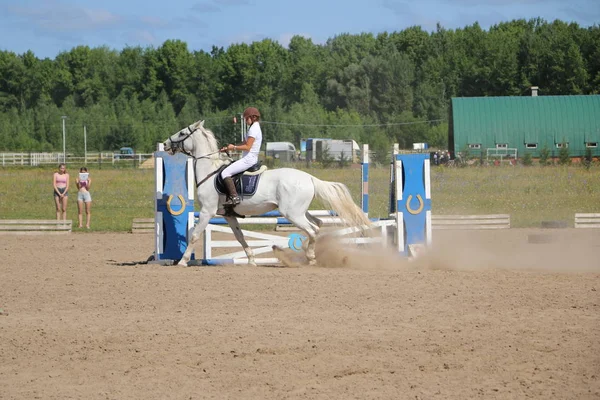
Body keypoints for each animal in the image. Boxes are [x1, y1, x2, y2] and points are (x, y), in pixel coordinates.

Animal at [164, 120, 370, 268]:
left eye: (182, 133)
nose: (165, 144)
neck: (210, 171)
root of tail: (310, 178)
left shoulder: (207, 211)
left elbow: (194, 235)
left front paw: (182, 261)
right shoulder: (229, 215)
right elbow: (240, 237)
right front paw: (252, 260)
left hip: (291, 213)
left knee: (311, 229)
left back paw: (310, 257)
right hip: (300, 211)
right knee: (317, 225)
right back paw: (306, 252)